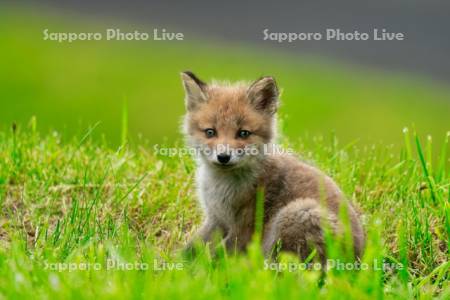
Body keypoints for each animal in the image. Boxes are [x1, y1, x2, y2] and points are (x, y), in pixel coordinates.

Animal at [181, 71, 364, 262]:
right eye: (210, 132)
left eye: (243, 133)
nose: (223, 157)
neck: (221, 187)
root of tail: (358, 257)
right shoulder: (216, 218)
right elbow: (190, 248)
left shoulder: (247, 225)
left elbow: (219, 256)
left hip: (299, 212)